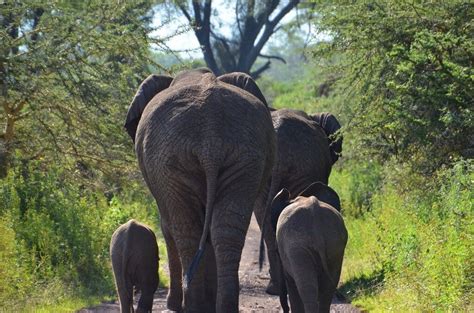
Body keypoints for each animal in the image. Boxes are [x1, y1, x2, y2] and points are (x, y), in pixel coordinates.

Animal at [124, 68, 276, 312]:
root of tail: (210, 141)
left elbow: (167, 226)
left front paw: (176, 305)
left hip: (170, 158)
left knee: (186, 229)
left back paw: (191, 305)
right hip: (246, 157)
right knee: (226, 229)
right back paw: (221, 306)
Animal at [270, 182, 348, 312]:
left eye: (276, 251)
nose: (285, 309)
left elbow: (291, 284)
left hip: (298, 248)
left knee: (306, 289)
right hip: (335, 245)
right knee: (328, 290)